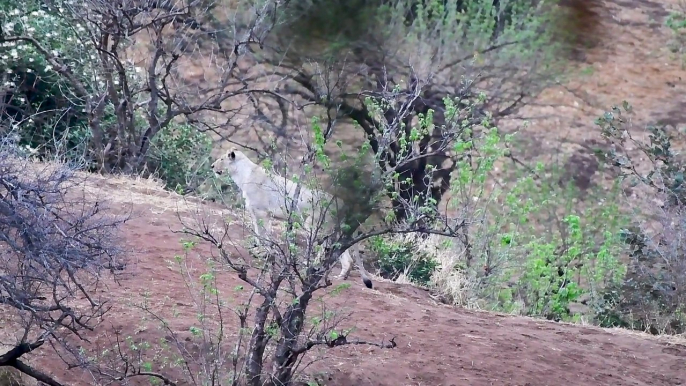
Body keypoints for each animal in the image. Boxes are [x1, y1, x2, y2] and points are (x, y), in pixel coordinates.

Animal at [212, 148, 374, 290]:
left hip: (314, 225)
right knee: (344, 255)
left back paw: (313, 267)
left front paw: (264, 252)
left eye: (222, 159)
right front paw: (257, 249)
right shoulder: (254, 213)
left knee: (322, 247)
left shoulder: (263, 213)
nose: (213, 166)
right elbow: (258, 233)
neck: (242, 174)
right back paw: (340, 276)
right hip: (335, 229)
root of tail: (342, 204)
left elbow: (265, 235)